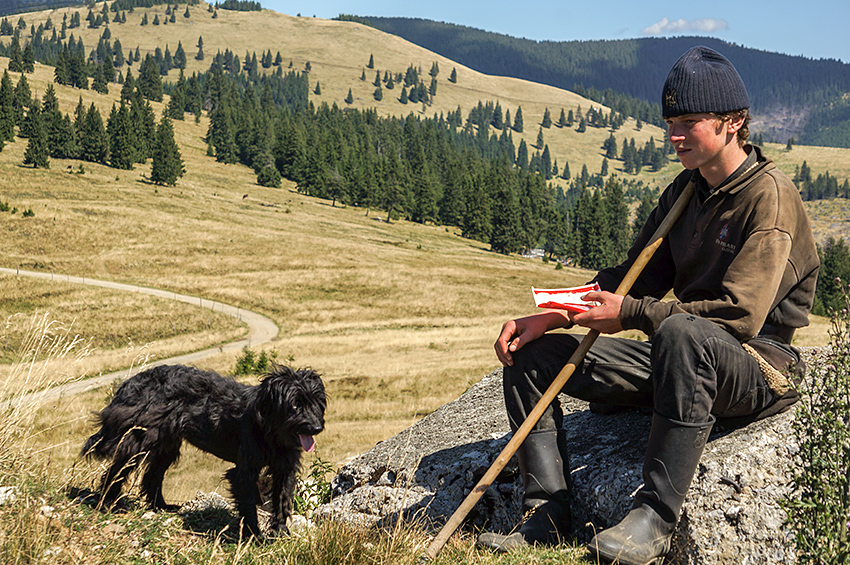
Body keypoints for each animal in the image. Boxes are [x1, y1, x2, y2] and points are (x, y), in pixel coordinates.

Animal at [81, 364, 324, 536]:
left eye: (317, 403)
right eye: (295, 405)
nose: (317, 428)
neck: (269, 426)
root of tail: (129, 383)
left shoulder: (285, 468)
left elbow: (282, 499)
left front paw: (279, 531)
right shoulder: (244, 471)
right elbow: (248, 505)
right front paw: (254, 535)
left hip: (166, 444)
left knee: (153, 475)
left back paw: (160, 506)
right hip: (139, 440)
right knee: (118, 469)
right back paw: (107, 503)